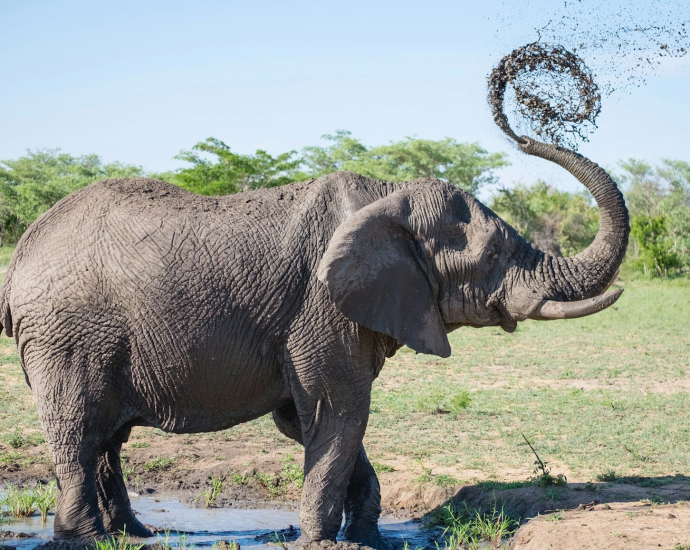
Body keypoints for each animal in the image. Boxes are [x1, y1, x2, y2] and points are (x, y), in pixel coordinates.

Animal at [0, 137, 628, 548]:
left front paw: (368, 538)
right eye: (492, 254)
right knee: (78, 431)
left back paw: (133, 535)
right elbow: (338, 411)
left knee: (106, 437)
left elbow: (312, 422)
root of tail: (24, 249)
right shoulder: (319, 307)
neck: (388, 196)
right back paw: (84, 540)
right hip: (65, 335)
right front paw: (324, 543)